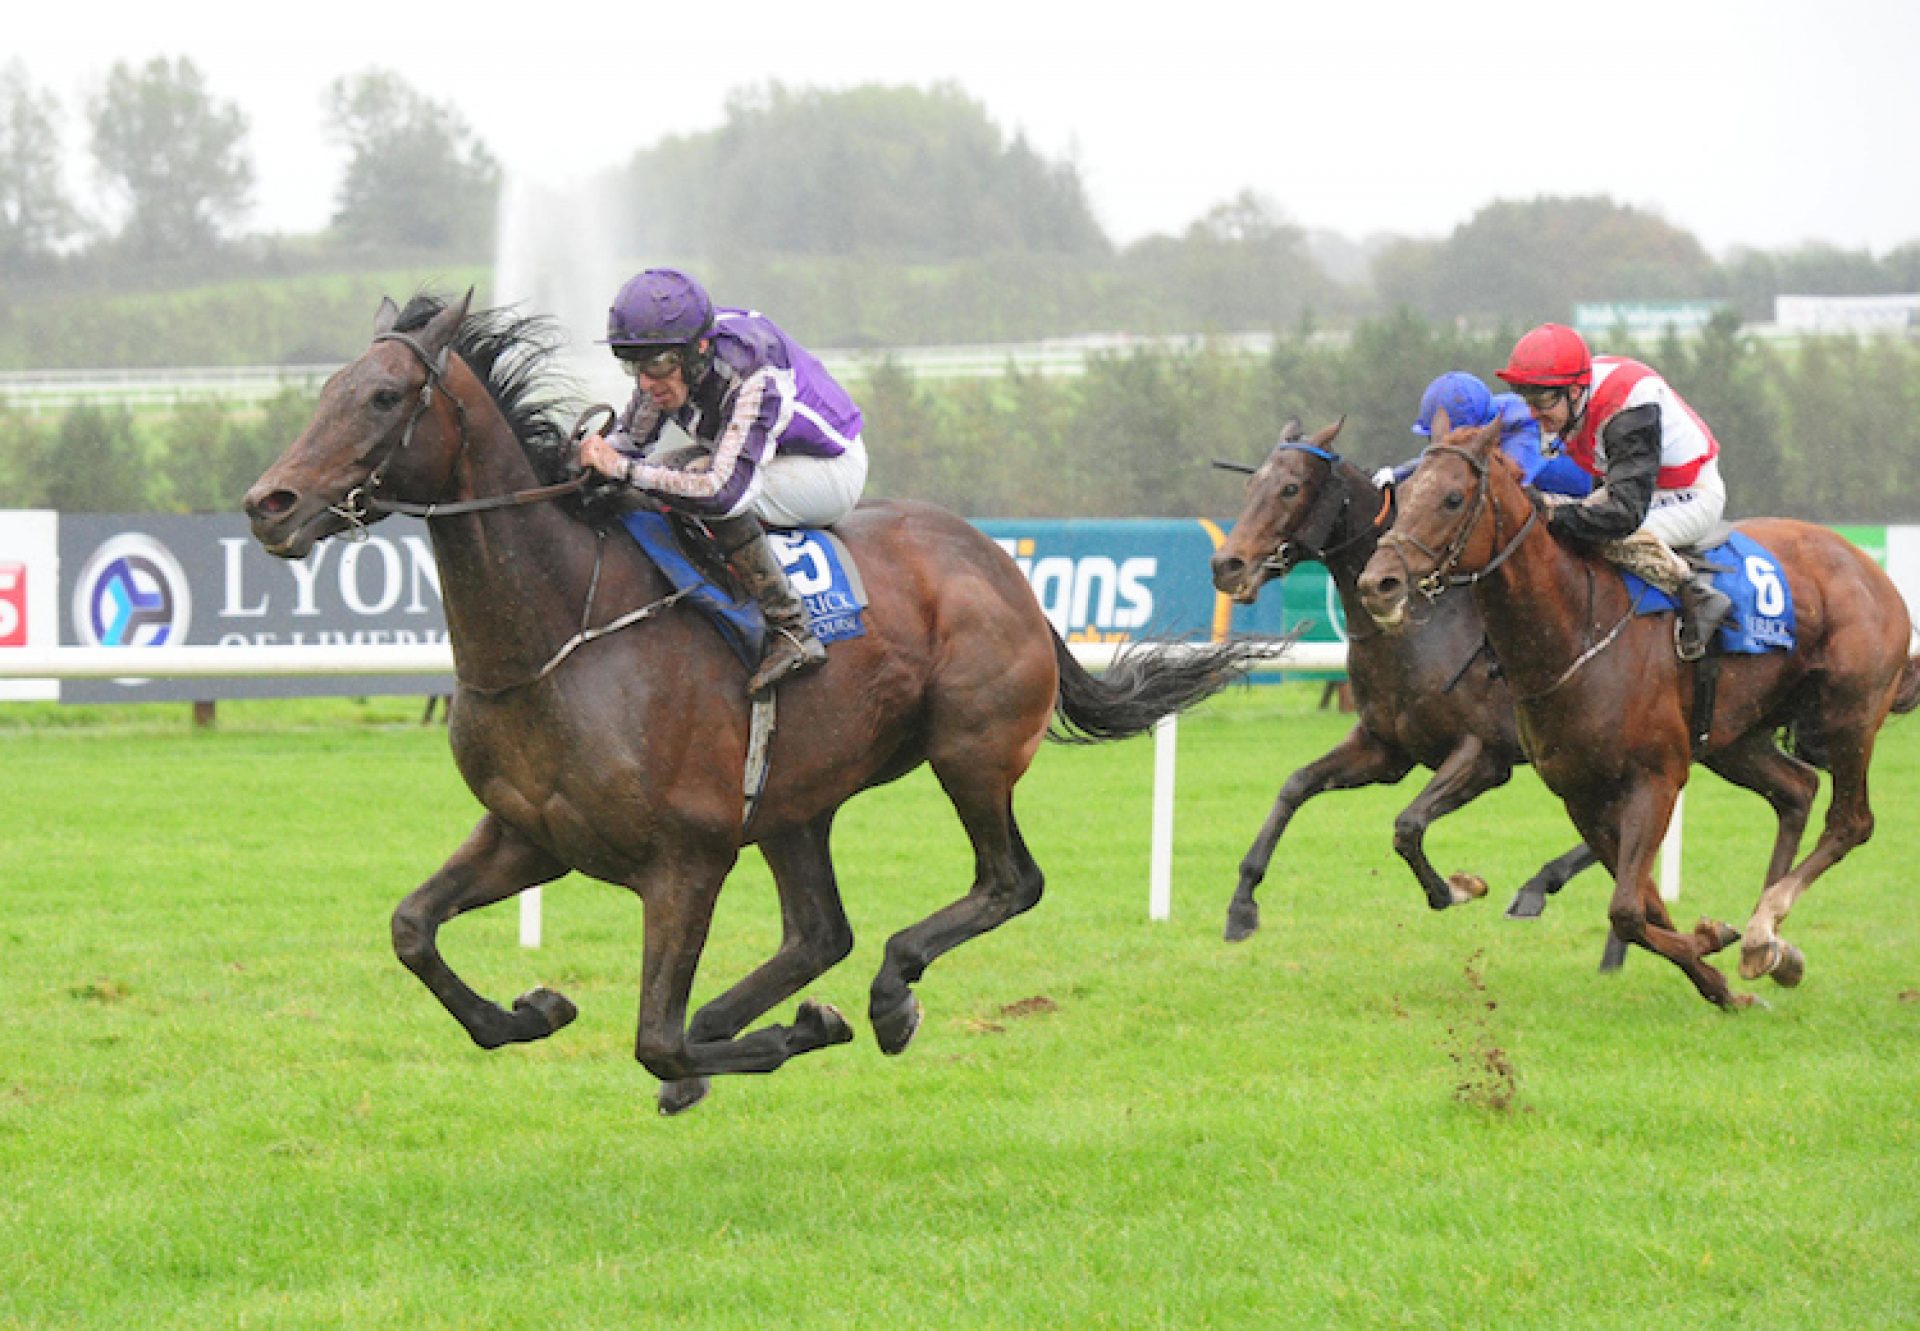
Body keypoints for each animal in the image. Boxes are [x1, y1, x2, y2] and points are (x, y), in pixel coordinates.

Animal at [243, 293, 1259, 1113]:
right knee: (818, 932)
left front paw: (793, 1033)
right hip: (793, 798)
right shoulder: (530, 834)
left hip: (970, 750)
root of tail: (998, 561)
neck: (562, 636)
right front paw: (533, 1007)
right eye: (329, 388)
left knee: (1006, 882)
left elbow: (654, 1037)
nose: (268, 502)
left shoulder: (685, 859)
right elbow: (412, 928)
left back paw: (886, 996)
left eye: (383, 397)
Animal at [1205, 420, 1597, 941]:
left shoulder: (1486, 754)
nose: (1226, 566)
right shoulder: (1385, 749)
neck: (1421, 627)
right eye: (1251, 487)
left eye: (1290, 488)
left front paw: (1456, 888)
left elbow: (1408, 824)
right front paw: (1242, 903)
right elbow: (1295, 785)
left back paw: (1539, 885)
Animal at [1351, 420, 1920, 998]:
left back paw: (1765, 930)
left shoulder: (1656, 778)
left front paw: (1713, 948)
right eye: (1404, 494)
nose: (1378, 584)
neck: (1577, 630)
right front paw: (1716, 971)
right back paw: (1769, 939)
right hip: (1734, 738)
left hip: (1849, 712)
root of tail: (1865, 564)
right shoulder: (1580, 793)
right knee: (1796, 789)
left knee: (1851, 821)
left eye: (1452, 497)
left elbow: (1626, 910)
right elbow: (1645, 906)